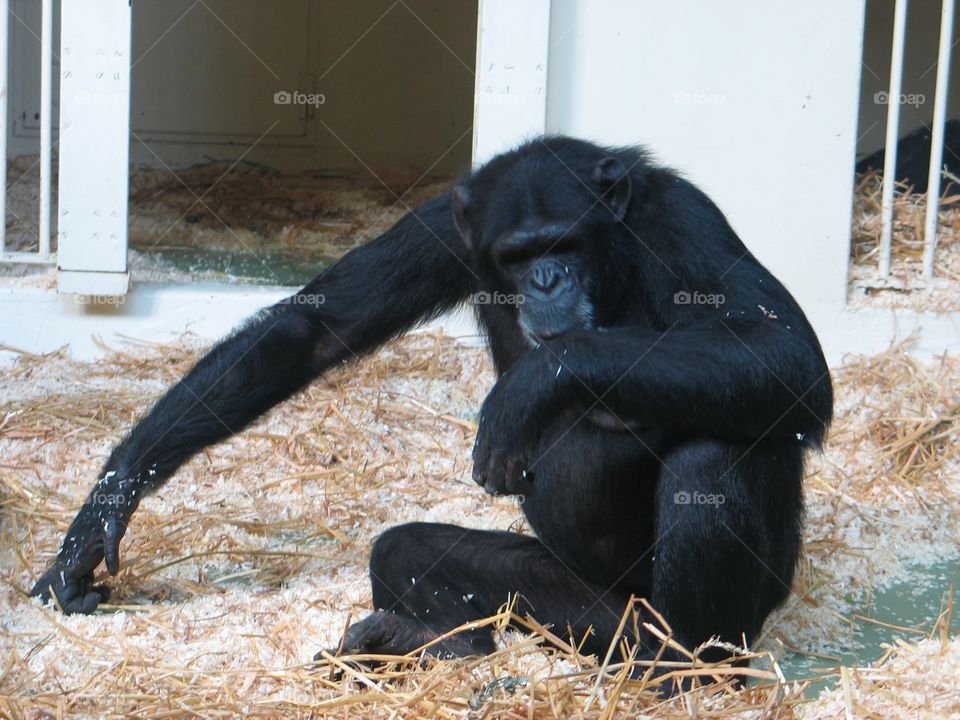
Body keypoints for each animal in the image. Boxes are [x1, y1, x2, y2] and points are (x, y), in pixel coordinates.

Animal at [31, 135, 832, 680]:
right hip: (574, 606)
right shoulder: (443, 231)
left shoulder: (680, 219)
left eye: (565, 243)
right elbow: (313, 333)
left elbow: (784, 353)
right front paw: (103, 509)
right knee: (409, 550)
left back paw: (685, 673)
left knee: (714, 456)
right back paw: (429, 643)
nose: (545, 280)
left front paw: (531, 387)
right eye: (515, 256)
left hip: (722, 605)